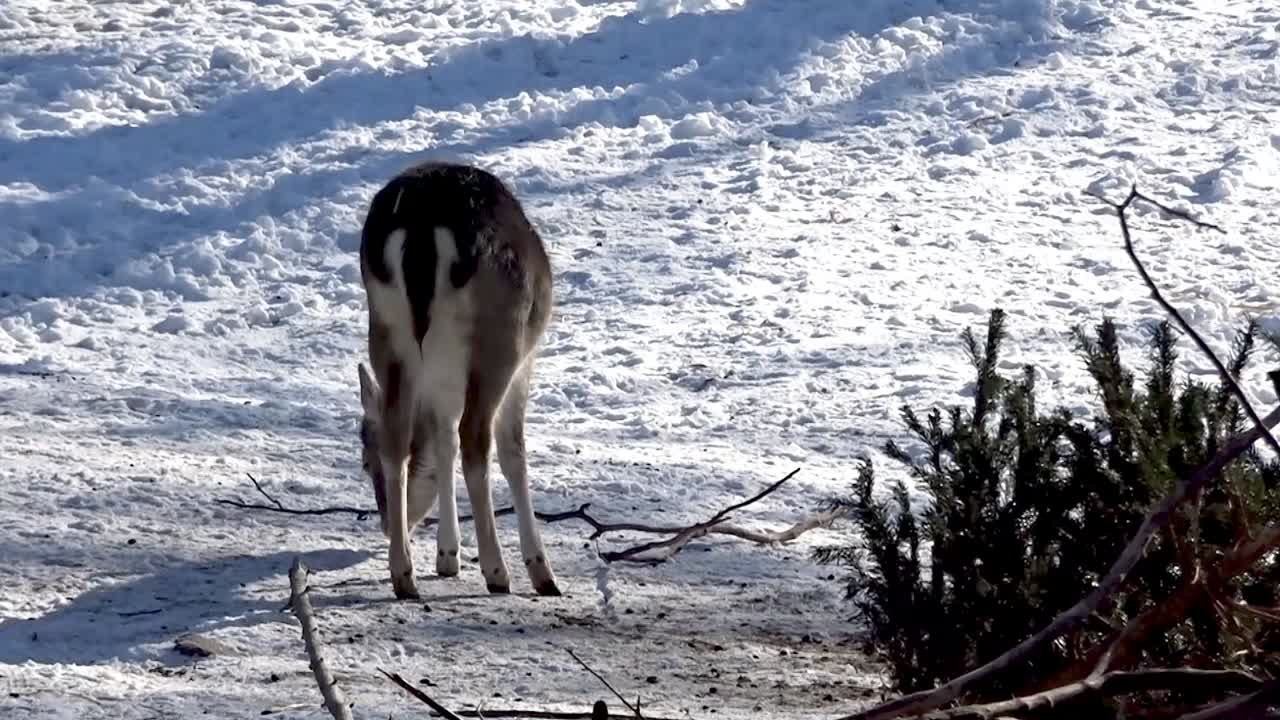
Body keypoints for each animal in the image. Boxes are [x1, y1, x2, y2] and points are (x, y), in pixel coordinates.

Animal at [355, 160, 561, 600]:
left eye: (363, 462)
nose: (386, 525)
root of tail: (419, 226)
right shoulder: (524, 363)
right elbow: (512, 450)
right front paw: (539, 568)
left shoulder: (440, 385)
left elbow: (442, 442)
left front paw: (447, 556)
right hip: (500, 341)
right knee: (476, 439)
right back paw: (499, 571)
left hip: (386, 333)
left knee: (400, 437)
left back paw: (404, 575)